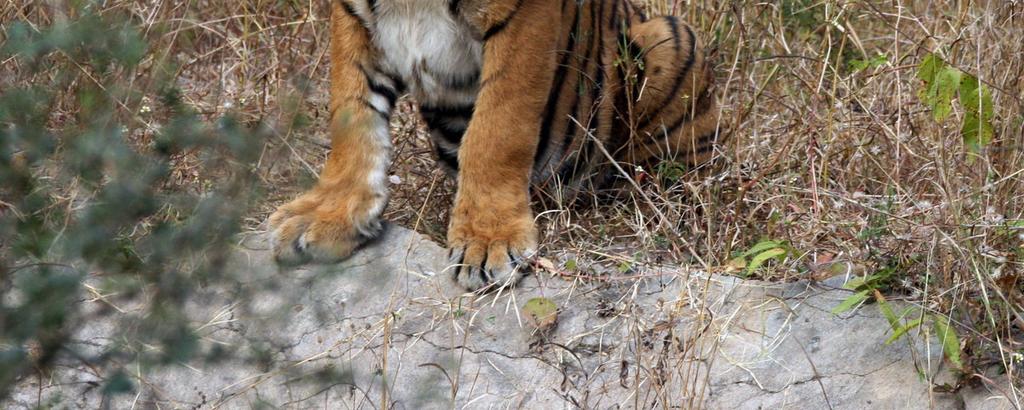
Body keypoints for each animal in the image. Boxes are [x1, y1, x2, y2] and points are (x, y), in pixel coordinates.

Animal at [270, 0, 720, 289]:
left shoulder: (523, 22)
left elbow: (498, 127)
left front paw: (487, 241)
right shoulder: (351, 18)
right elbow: (351, 114)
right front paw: (327, 214)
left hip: (672, 35)